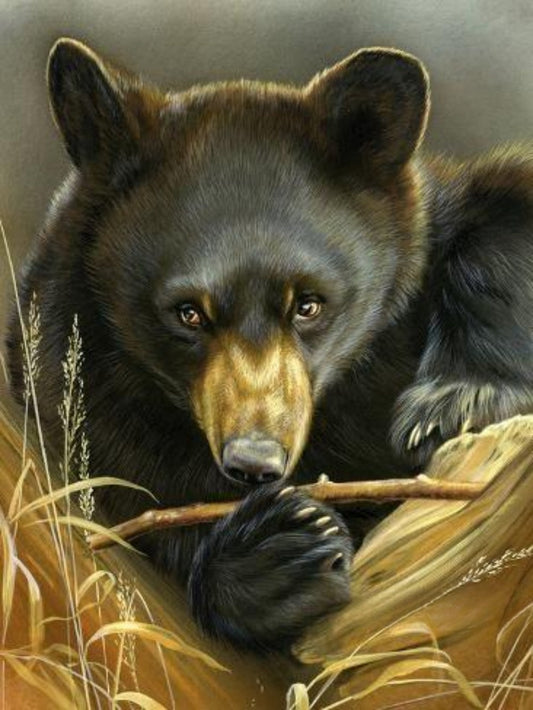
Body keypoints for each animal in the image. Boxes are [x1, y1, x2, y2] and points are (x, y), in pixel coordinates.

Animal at [6, 38, 533, 652]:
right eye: (188, 312)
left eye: (308, 304)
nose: (254, 461)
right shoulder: (84, 402)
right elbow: (143, 512)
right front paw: (282, 553)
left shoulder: (433, 222)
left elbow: (501, 217)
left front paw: (455, 403)